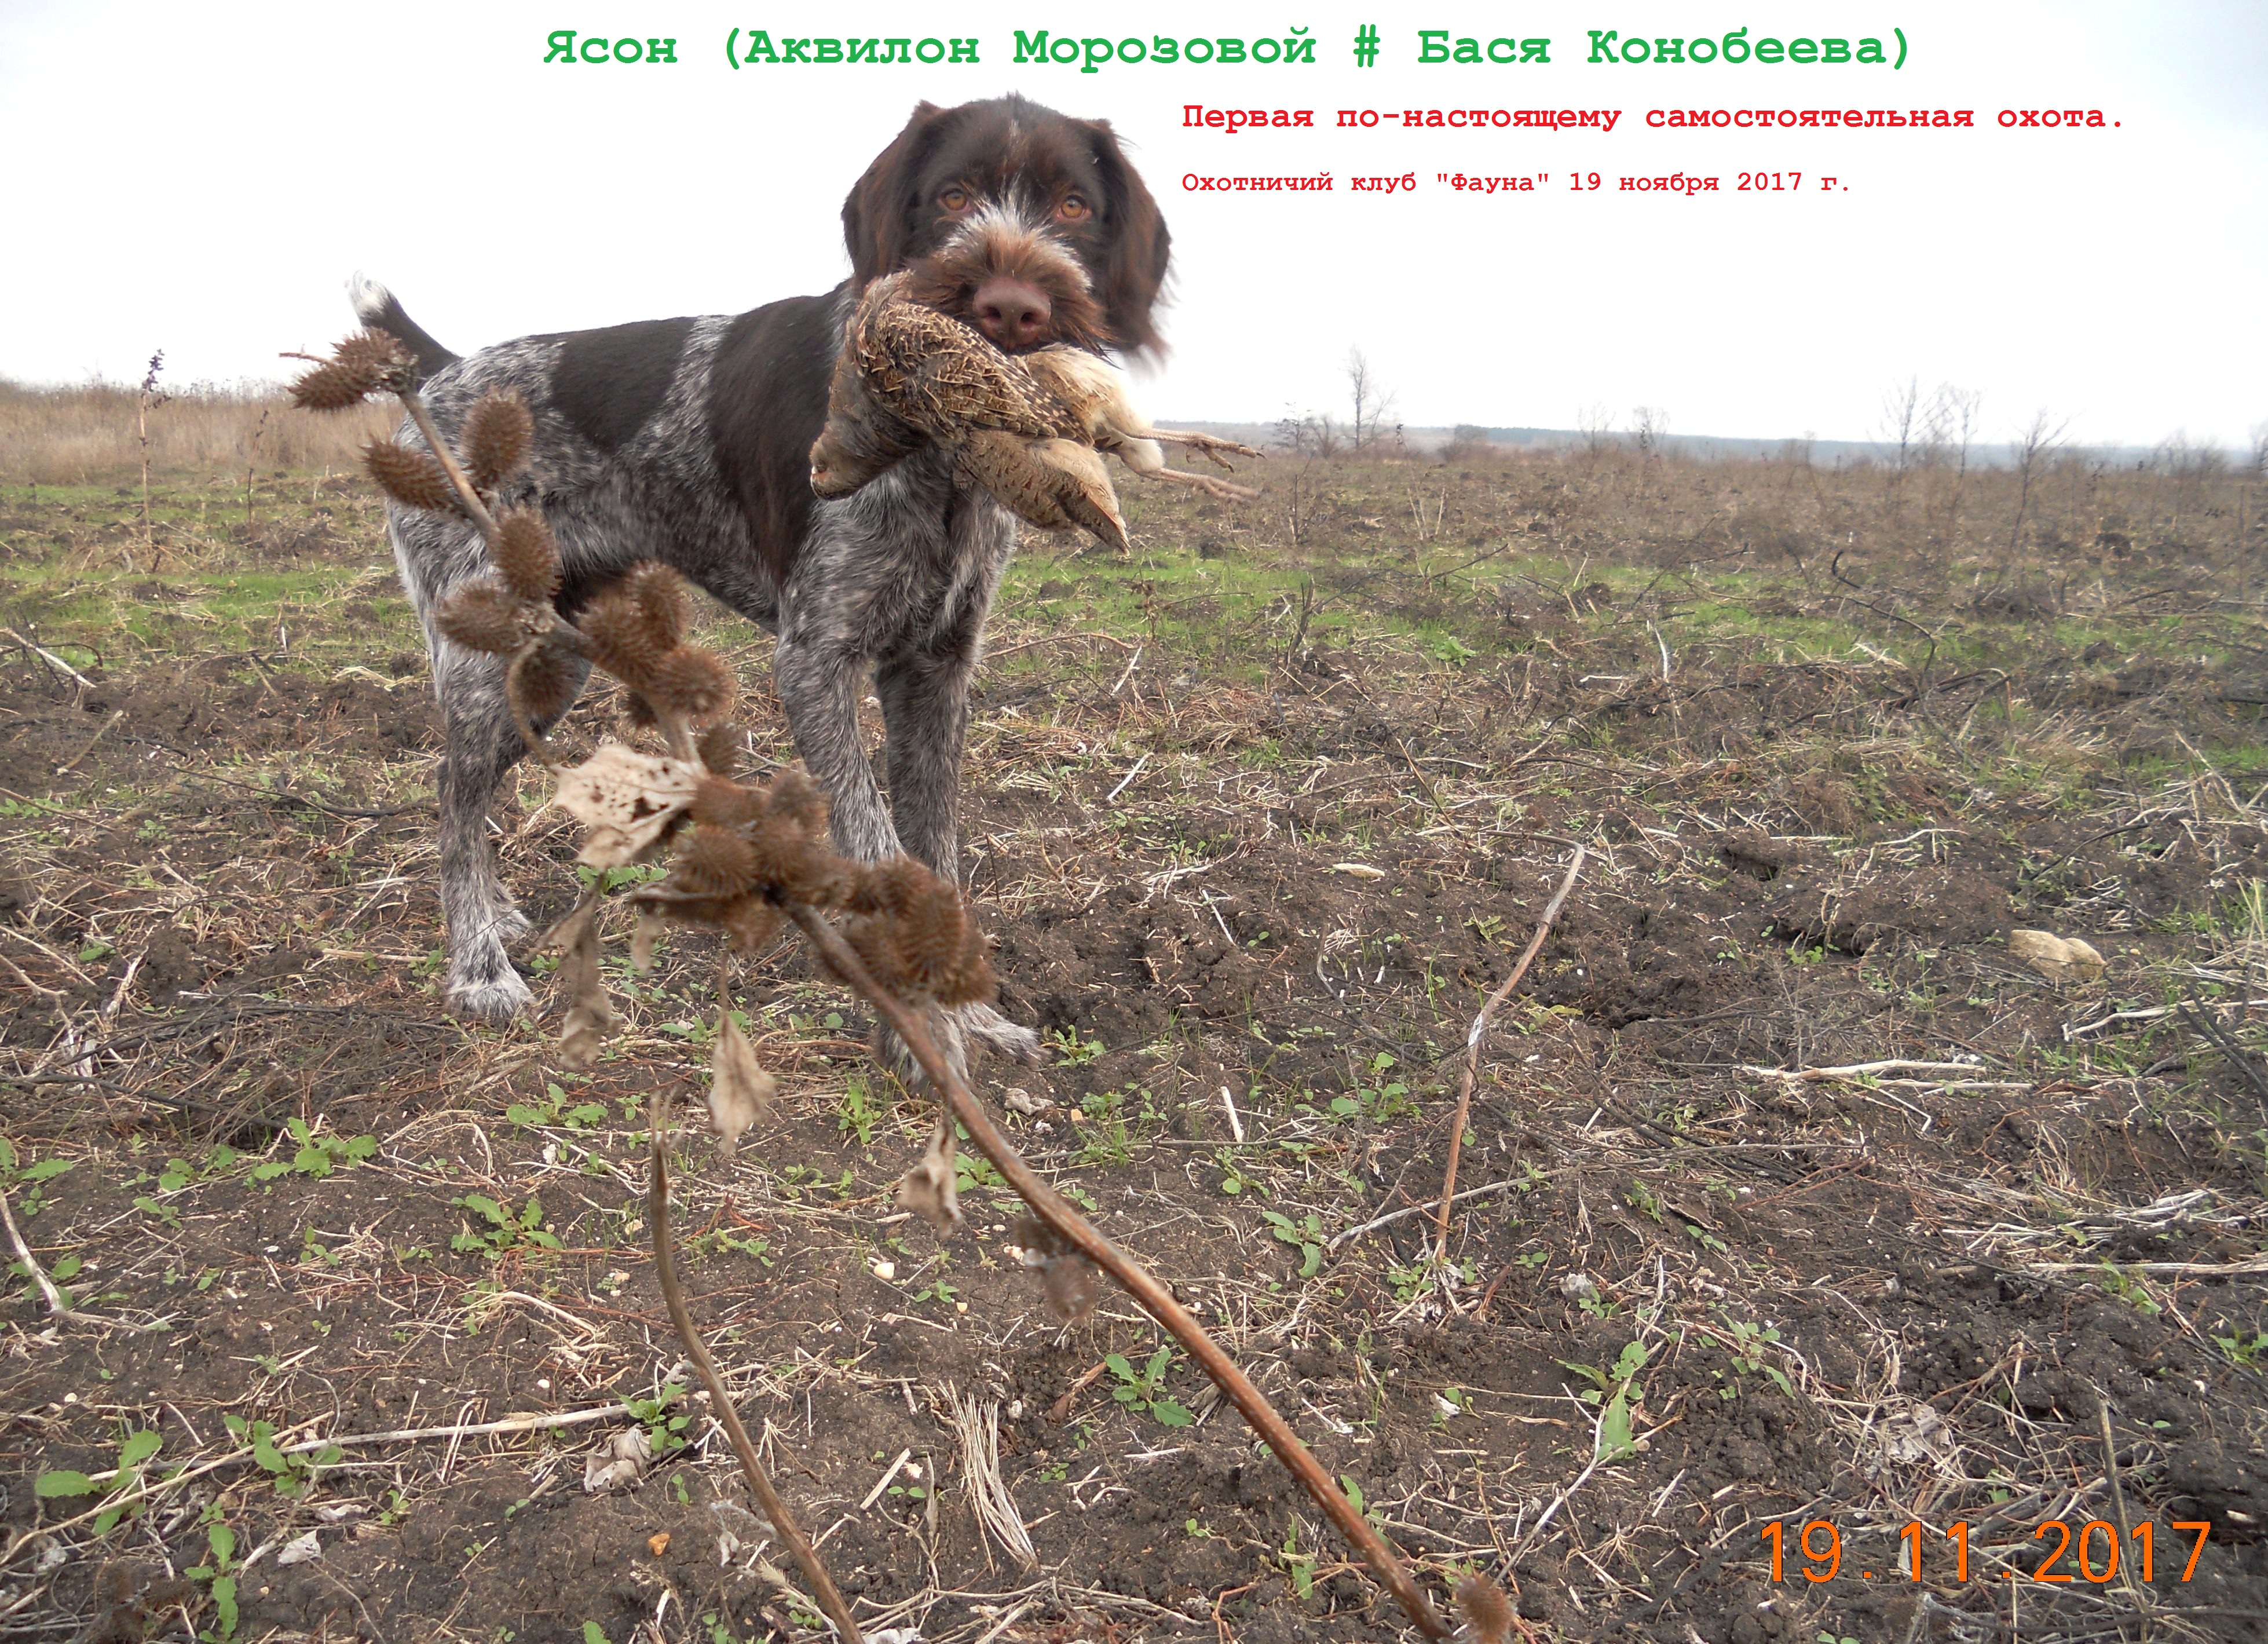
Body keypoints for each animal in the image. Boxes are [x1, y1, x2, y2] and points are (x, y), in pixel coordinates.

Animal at [359, 95, 1169, 1069]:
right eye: (952, 195)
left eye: (1075, 206)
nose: (1012, 309)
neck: (939, 455)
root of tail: (445, 371)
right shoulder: (816, 661)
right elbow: (879, 846)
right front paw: (924, 1038)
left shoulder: (935, 671)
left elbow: (935, 852)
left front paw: (969, 1015)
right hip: (489, 650)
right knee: (452, 789)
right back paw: (477, 965)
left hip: (553, 662)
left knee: (473, 788)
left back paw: (502, 913)